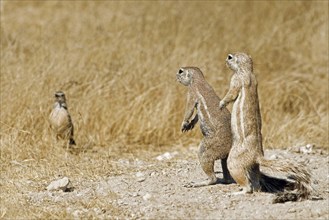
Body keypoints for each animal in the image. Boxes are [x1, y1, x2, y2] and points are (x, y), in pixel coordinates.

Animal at [219, 52, 312, 203]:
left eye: (230, 57)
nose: (225, 60)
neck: (247, 71)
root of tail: (257, 156)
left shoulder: (236, 80)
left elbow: (231, 95)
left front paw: (221, 104)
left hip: (234, 162)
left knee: (248, 187)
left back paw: (238, 192)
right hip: (253, 167)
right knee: (256, 184)